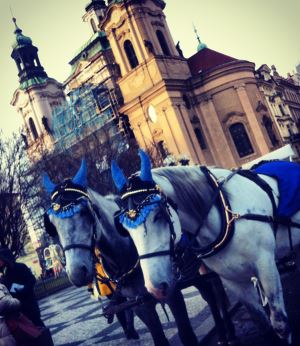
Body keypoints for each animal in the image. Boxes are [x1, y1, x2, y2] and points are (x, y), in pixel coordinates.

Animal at [42, 161, 237, 344]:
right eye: (52, 223)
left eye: (84, 212)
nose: (76, 273)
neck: (127, 253)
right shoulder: (139, 305)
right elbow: (158, 337)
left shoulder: (172, 294)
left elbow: (186, 334)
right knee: (211, 295)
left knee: (216, 293)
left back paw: (228, 332)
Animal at [112, 149, 300, 344]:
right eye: (123, 227)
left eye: (158, 215)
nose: (154, 287)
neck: (227, 215)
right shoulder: (233, 280)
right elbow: (262, 323)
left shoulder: (266, 266)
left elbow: (280, 325)